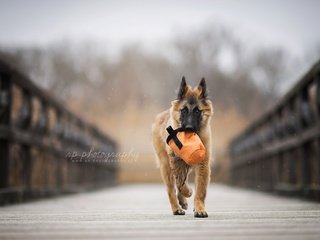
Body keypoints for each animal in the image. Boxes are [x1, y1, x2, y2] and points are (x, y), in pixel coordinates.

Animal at [152, 77, 214, 218]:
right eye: (184, 110)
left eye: (197, 111)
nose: (189, 128)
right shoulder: (176, 162)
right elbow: (180, 183)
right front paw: (188, 192)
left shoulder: (203, 164)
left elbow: (200, 190)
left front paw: (199, 209)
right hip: (166, 166)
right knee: (171, 188)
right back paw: (177, 208)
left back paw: (183, 202)